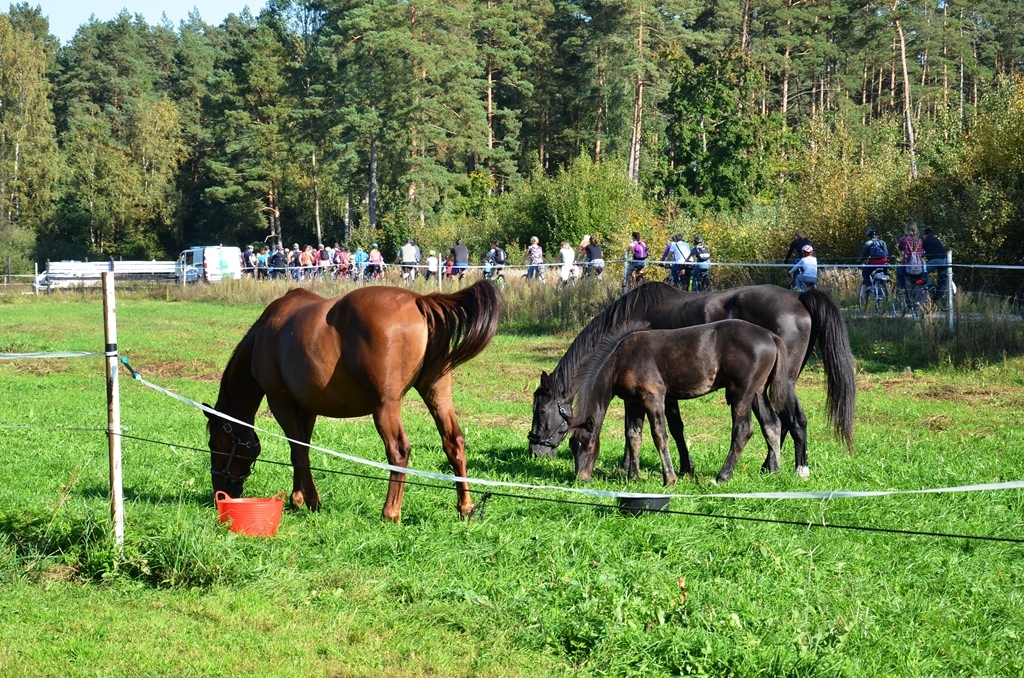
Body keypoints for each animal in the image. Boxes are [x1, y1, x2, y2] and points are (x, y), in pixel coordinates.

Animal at [204, 278, 499, 522]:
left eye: (215, 443)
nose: (221, 492)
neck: (265, 335)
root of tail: (419, 301)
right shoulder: (306, 409)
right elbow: (301, 449)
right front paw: (298, 498)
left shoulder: (281, 403)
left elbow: (297, 450)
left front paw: (311, 500)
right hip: (437, 393)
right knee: (454, 442)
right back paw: (466, 507)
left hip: (385, 406)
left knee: (399, 450)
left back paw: (390, 513)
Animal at [569, 321, 798, 485]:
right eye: (572, 446)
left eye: (590, 446)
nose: (581, 479)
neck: (621, 358)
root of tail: (769, 335)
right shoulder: (633, 403)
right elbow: (633, 436)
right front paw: (633, 477)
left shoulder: (654, 397)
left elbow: (659, 435)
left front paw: (669, 479)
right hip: (757, 393)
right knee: (772, 424)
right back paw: (774, 470)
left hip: (741, 394)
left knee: (743, 431)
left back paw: (723, 476)